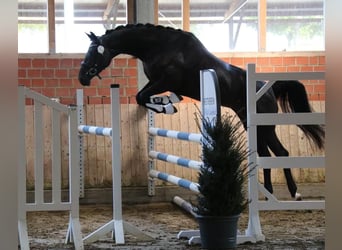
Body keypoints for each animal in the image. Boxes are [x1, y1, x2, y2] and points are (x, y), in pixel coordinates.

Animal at [79, 23, 324, 199]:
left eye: (93, 53)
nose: (82, 77)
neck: (159, 46)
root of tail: (269, 88)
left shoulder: (166, 80)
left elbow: (142, 97)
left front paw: (168, 106)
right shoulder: (158, 82)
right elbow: (142, 97)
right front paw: (167, 103)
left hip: (264, 126)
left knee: (280, 152)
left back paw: (294, 192)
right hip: (250, 123)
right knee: (265, 154)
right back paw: (269, 193)